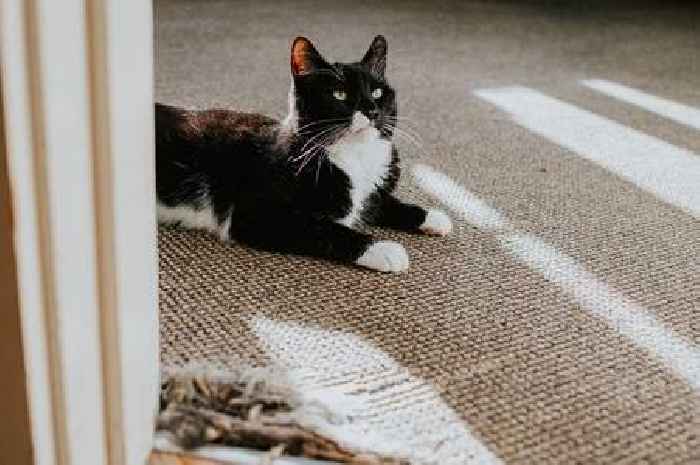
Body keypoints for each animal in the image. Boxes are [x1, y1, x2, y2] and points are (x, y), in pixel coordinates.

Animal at [155, 35, 452, 272]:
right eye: (339, 94)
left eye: (378, 92)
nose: (371, 110)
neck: (355, 156)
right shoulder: (254, 215)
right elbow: (325, 229)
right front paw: (384, 249)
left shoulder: (372, 191)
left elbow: (385, 202)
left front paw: (433, 216)